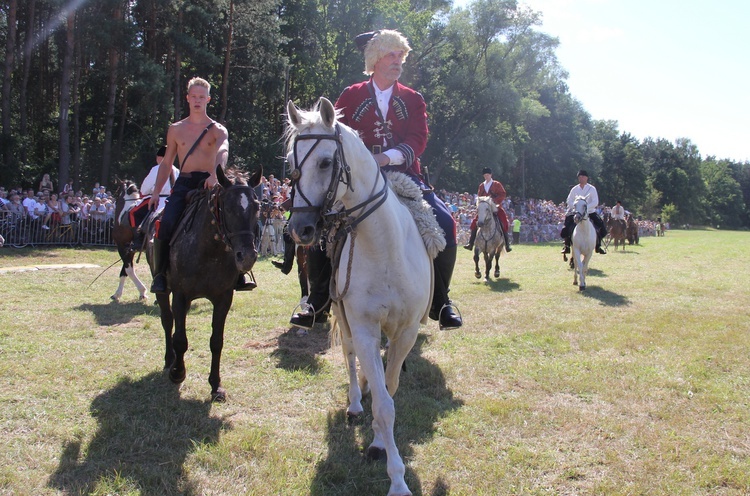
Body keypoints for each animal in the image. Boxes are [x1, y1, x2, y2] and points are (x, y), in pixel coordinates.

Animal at [145, 165, 262, 402]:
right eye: (228, 207)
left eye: (257, 207)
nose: (247, 257)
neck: (209, 250)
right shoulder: (180, 295)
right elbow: (180, 339)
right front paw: (178, 373)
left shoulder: (223, 298)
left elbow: (216, 341)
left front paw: (216, 385)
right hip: (164, 292)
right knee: (167, 321)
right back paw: (169, 360)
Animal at [284, 98, 432, 496]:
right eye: (290, 165)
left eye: (325, 162)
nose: (299, 229)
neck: (384, 249)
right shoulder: (364, 326)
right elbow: (382, 403)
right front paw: (396, 478)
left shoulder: (406, 331)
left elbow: (389, 389)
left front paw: (381, 445)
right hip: (342, 315)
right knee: (350, 358)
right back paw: (354, 401)